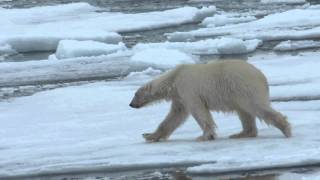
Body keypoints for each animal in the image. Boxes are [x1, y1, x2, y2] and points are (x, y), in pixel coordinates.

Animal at [129, 60, 292, 142]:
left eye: (135, 95)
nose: (131, 104)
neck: (174, 78)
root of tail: (261, 76)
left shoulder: (189, 90)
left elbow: (199, 112)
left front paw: (205, 136)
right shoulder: (180, 97)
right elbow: (175, 116)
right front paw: (149, 136)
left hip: (243, 87)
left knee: (256, 107)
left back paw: (285, 129)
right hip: (239, 93)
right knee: (244, 112)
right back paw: (241, 134)